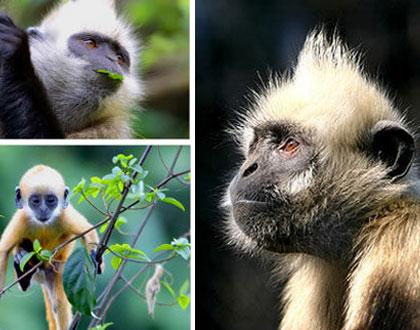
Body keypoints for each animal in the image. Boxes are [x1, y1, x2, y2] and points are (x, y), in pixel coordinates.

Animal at [0, 166, 101, 330]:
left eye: (50, 200)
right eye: (35, 201)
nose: (43, 209)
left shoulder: (65, 215)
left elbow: (88, 231)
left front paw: (94, 257)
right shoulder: (21, 219)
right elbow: (3, 251)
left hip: (56, 269)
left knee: (58, 304)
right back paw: (23, 268)